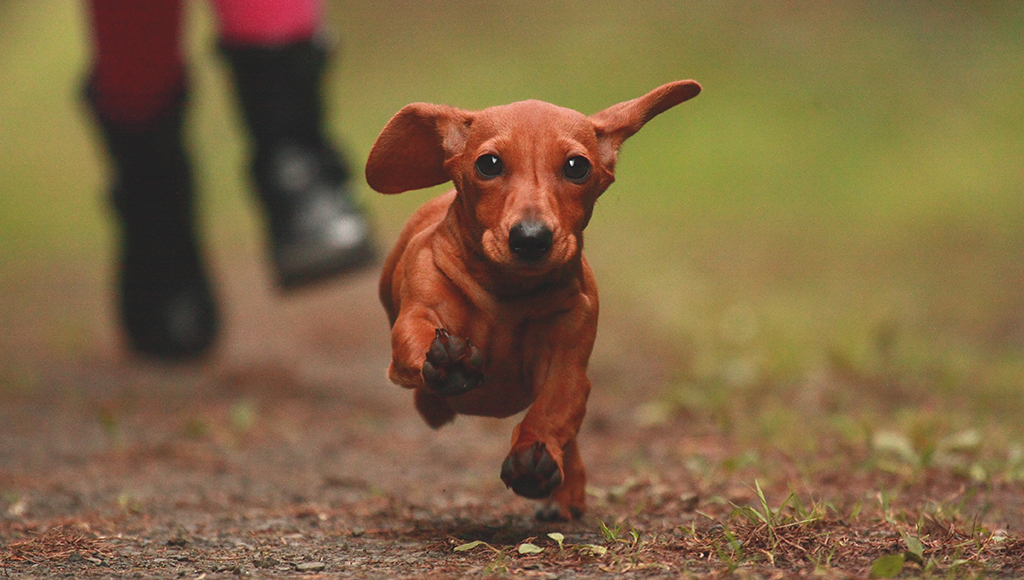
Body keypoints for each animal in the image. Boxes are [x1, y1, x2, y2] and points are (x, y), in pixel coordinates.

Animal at [365, 80, 701, 521]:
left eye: (577, 167)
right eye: (488, 163)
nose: (530, 238)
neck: (508, 292)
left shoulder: (567, 366)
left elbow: (552, 411)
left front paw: (531, 459)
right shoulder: (421, 310)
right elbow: (417, 337)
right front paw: (449, 361)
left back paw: (564, 491)